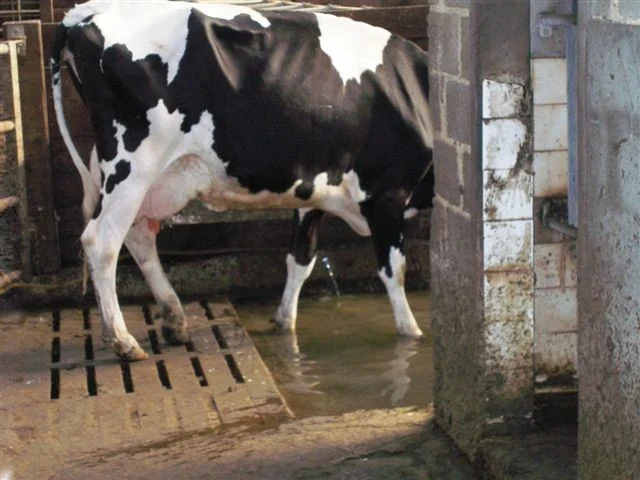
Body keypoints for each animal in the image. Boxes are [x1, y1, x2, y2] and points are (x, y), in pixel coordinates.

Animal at [51, 0, 435, 361]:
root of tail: (84, 13)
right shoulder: (386, 192)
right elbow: (394, 270)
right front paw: (413, 333)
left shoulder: (313, 191)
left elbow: (301, 259)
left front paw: (283, 321)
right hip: (134, 164)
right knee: (102, 241)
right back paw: (123, 340)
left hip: (155, 175)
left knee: (139, 234)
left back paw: (175, 320)